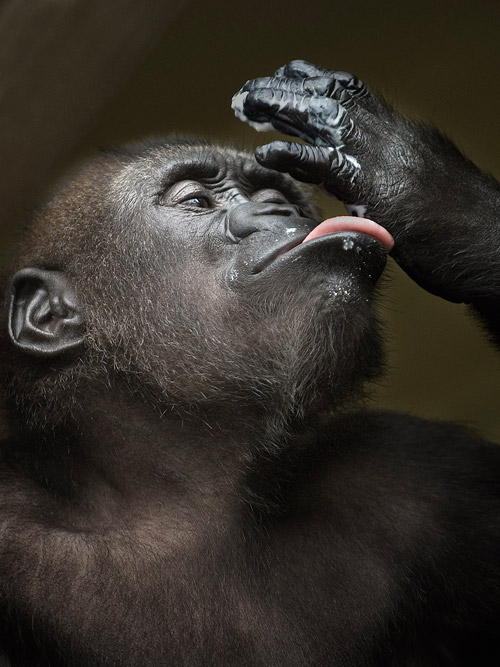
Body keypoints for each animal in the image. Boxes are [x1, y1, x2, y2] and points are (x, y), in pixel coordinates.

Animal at [0, 59, 498, 665]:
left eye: (282, 198)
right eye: (195, 201)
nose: (276, 210)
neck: (189, 500)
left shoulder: (428, 470)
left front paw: (418, 186)